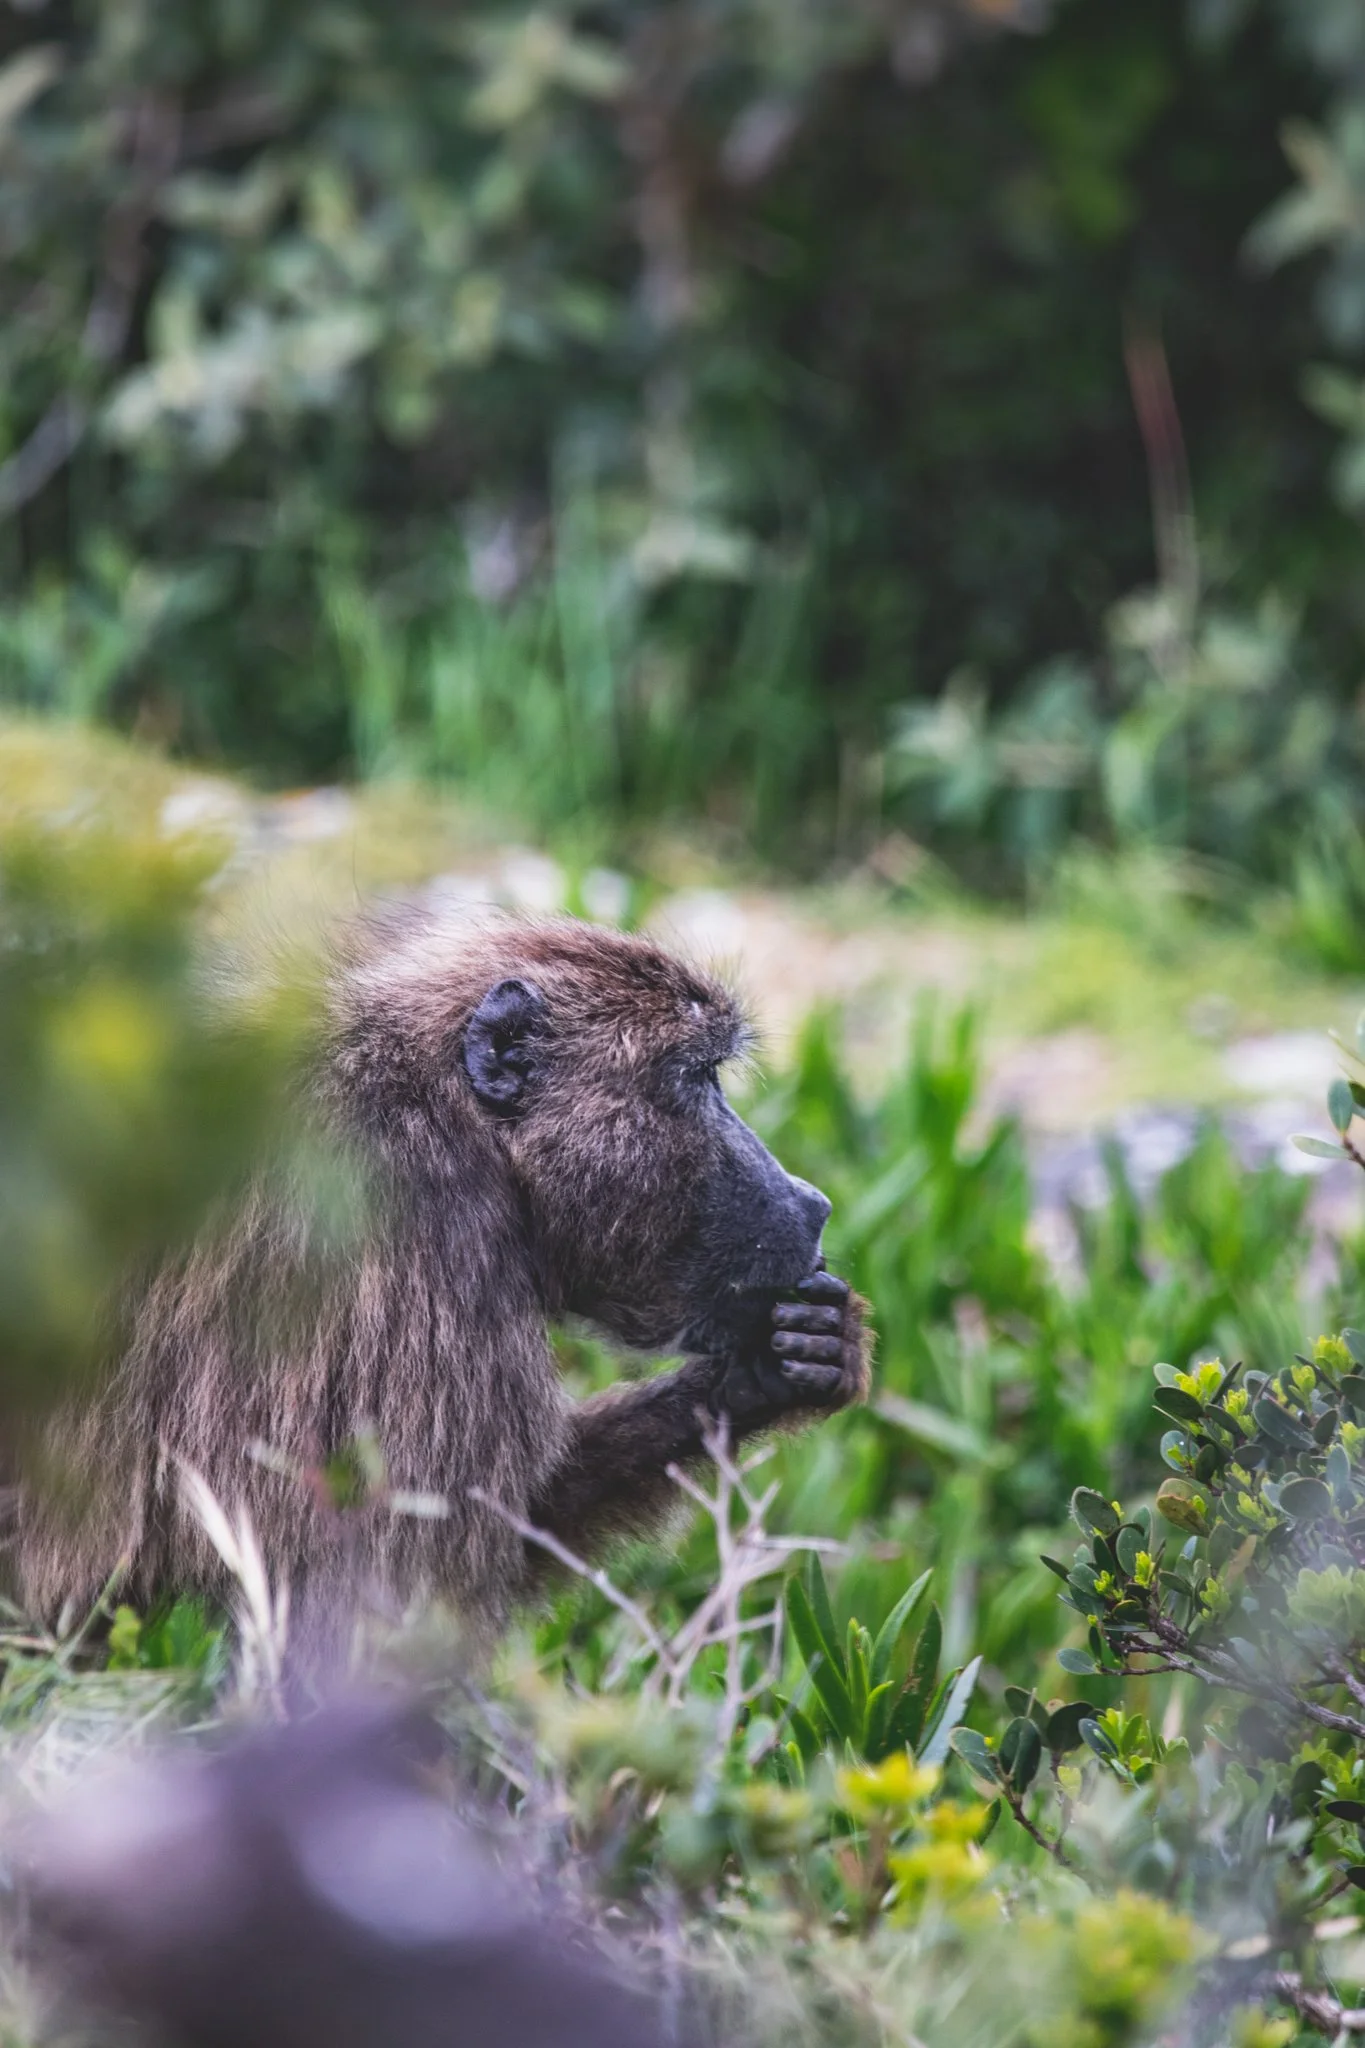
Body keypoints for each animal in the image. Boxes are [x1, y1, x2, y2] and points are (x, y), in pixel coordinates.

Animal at [14, 911, 871, 1636]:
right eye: (698, 1079)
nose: (813, 1204)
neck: (454, 1113)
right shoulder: (414, 1240)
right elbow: (387, 1594)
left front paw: (783, 1364)